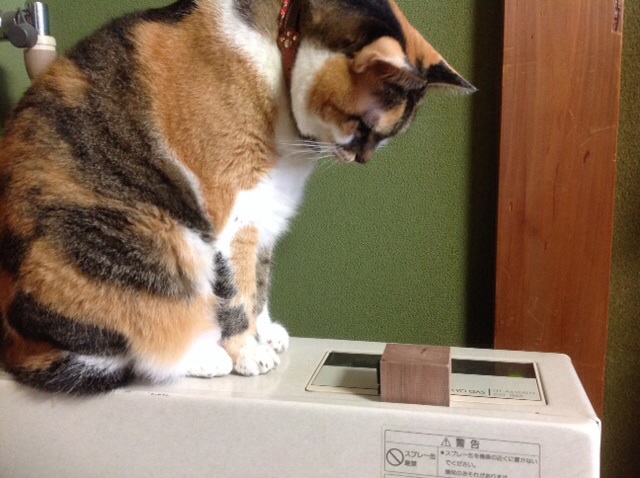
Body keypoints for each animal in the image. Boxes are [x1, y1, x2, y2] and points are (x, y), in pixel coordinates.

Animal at [0, 0, 475, 394]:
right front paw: (248, 352)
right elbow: (234, 293)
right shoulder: (231, 216)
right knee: (136, 345)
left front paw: (266, 331)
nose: (362, 159)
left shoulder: (266, 215)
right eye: (363, 128)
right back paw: (206, 357)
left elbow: (258, 282)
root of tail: (17, 348)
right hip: (153, 240)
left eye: (385, 137)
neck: (280, 54)